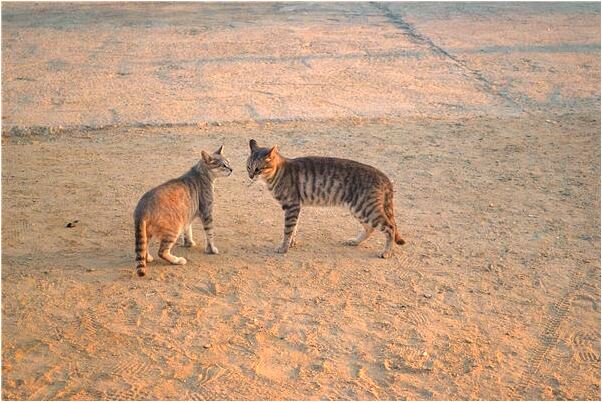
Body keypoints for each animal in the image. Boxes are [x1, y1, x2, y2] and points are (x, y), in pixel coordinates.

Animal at [134, 147, 232, 276]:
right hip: (173, 229)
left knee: (144, 245)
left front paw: (189, 243)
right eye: (223, 165)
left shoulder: (187, 215)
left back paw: (148, 257)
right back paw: (177, 260)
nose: (231, 169)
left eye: (228, 162)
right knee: (162, 252)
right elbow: (210, 233)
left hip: (148, 231)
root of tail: (141, 207)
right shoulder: (207, 212)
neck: (202, 174)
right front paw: (211, 249)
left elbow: (188, 231)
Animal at [246, 140, 406, 260]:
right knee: (370, 228)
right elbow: (294, 228)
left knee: (390, 227)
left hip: (365, 208)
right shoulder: (296, 207)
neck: (278, 172)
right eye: (248, 167)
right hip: (360, 209)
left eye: (258, 169)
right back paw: (355, 241)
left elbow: (288, 230)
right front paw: (291, 243)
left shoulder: (291, 206)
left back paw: (386, 252)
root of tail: (384, 176)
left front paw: (284, 247)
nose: (251, 176)